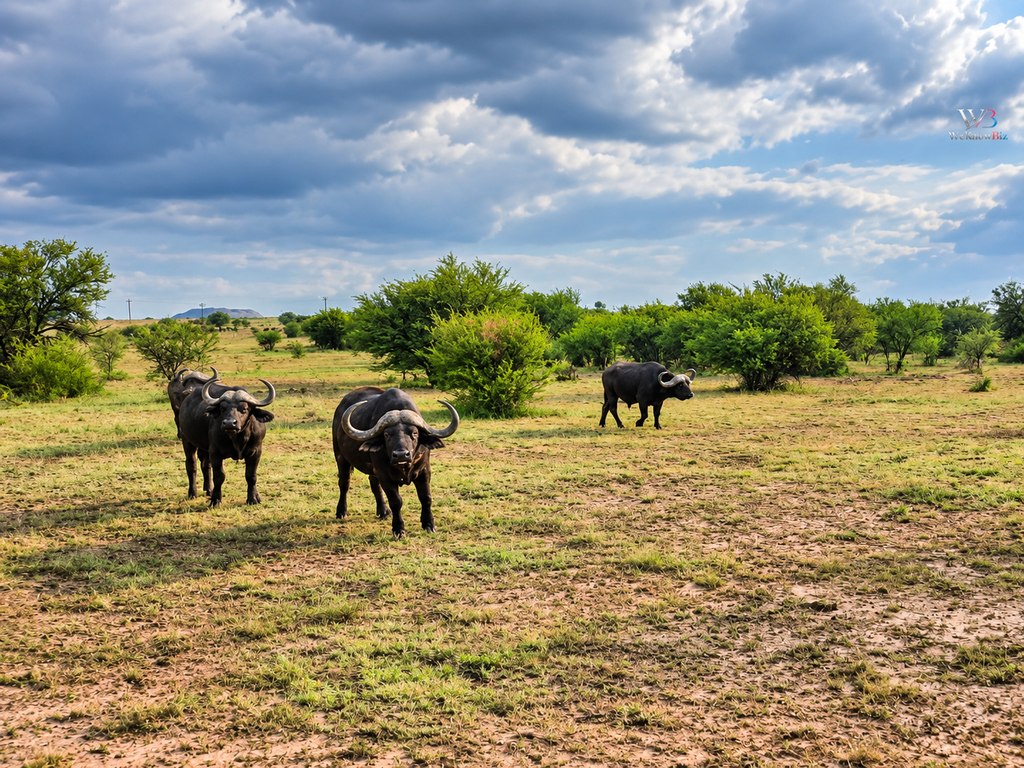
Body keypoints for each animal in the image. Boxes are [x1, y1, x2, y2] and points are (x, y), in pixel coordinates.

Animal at [176, 370, 276, 506]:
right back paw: (193, 492)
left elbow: (251, 476)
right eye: (222, 408)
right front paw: (216, 500)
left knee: (205, 465)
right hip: (187, 441)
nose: (229, 423)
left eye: (244, 409)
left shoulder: (256, 451)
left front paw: (253, 498)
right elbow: (219, 476)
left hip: (205, 447)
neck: (238, 439)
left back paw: (209, 489)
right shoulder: (216, 453)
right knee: (191, 465)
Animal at [332, 387, 459, 538]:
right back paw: (341, 511)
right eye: (387, 434)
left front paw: (429, 524)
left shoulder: (424, 472)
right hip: (341, 458)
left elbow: (426, 497)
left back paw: (383, 511)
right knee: (344, 483)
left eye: (414, 433)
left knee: (374, 484)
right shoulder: (385, 476)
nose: (401, 455)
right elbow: (396, 502)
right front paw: (399, 529)